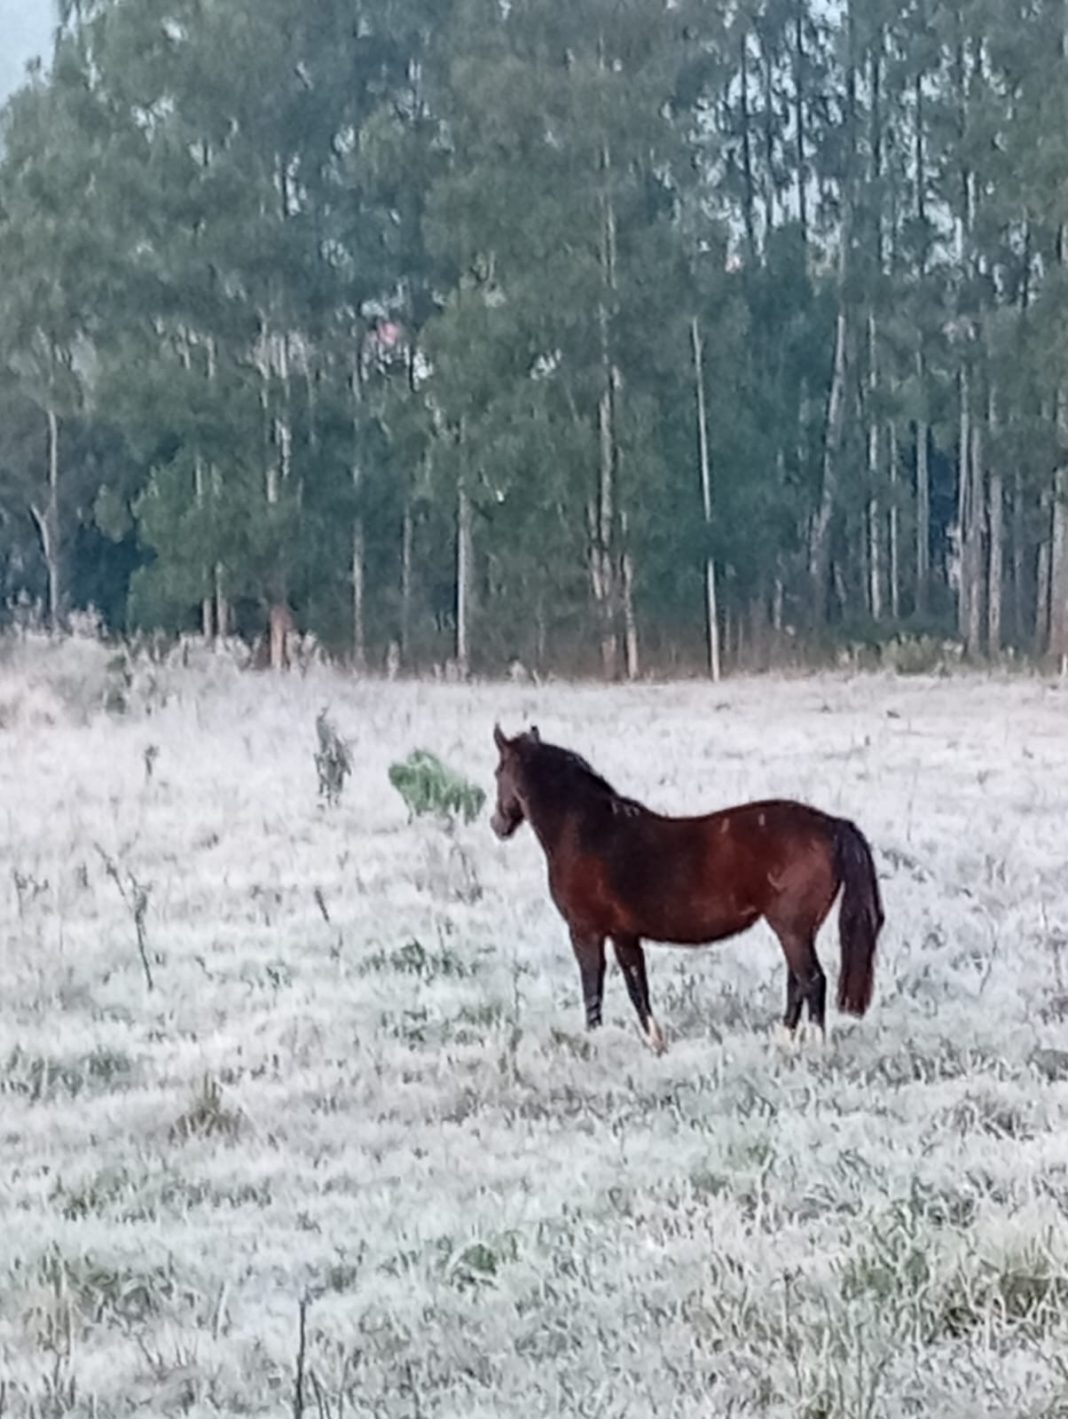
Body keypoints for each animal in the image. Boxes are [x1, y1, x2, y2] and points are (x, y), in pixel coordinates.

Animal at [490, 724, 884, 1052]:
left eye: (498, 772)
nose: (497, 824)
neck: (589, 831)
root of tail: (831, 826)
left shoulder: (585, 931)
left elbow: (593, 988)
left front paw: (595, 1040)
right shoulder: (623, 934)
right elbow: (637, 987)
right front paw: (654, 1041)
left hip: (792, 929)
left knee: (812, 980)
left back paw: (812, 1044)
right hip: (797, 931)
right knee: (797, 983)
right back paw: (783, 1039)